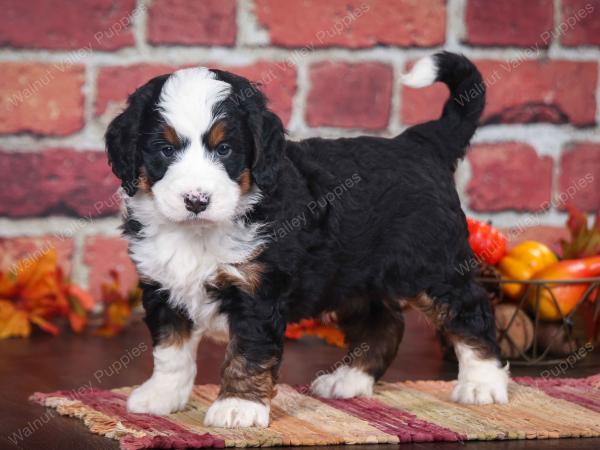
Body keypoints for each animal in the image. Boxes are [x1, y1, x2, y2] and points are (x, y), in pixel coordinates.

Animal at [106, 51, 506, 428]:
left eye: (224, 150)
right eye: (166, 150)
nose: (196, 200)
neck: (198, 233)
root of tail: (420, 142)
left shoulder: (257, 291)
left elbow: (248, 351)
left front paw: (238, 406)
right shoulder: (162, 287)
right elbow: (170, 351)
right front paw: (162, 396)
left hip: (433, 266)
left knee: (470, 312)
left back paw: (482, 383)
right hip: (353, 280)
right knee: (385, 324)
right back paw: (348, 380)